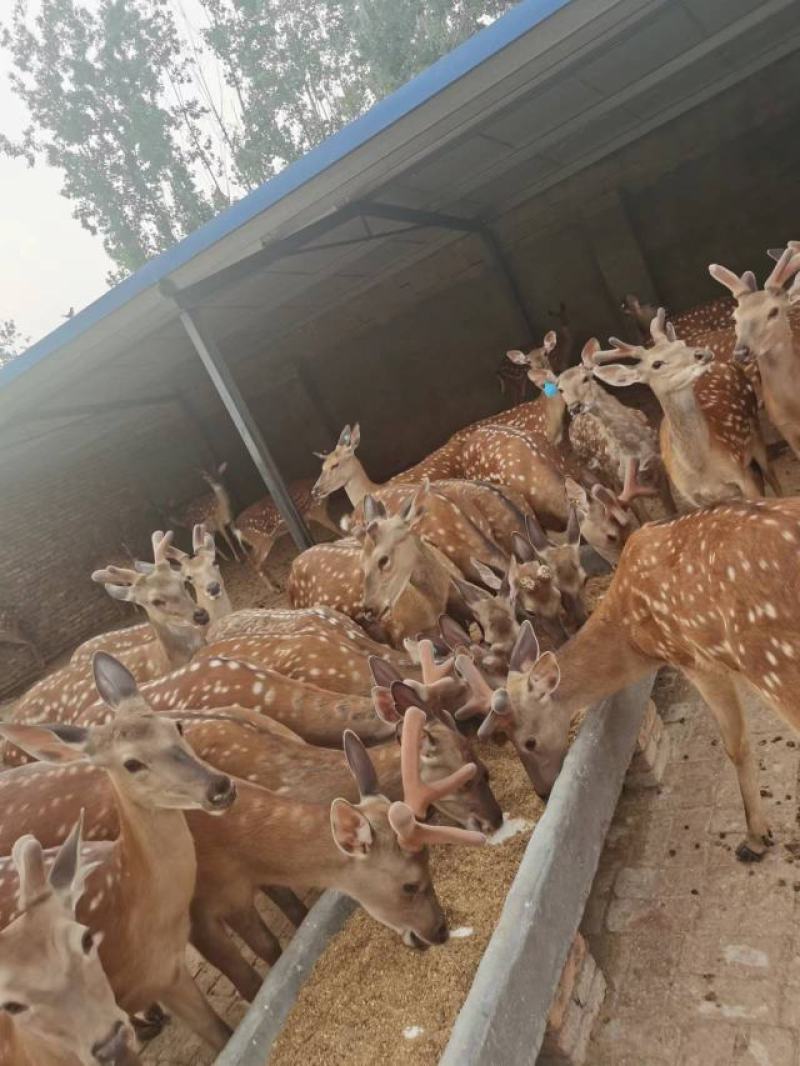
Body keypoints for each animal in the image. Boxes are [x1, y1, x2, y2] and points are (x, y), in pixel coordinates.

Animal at [474, 496, 800, 861]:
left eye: (529, 741)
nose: (543, 793)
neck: (638, 640)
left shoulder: (693, 657)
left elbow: (736, 745)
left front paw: (755, 839)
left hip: (772, 660)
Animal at [590, 310, 780, 509]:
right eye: (656, 364)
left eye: (681, 344)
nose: (702, 354)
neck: (700, 468)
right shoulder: (692, 497)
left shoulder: (741, 473)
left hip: (755, 433)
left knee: (772, 476)